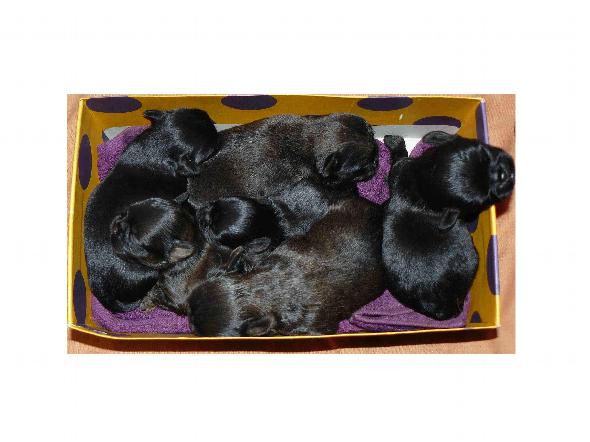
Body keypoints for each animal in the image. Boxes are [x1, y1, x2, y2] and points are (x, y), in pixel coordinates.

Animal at [381, 132, 515, 320]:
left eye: (484, 152)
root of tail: (445, 307)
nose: (505, 174)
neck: (420, 184)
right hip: (471, 255)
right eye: (485, 197)